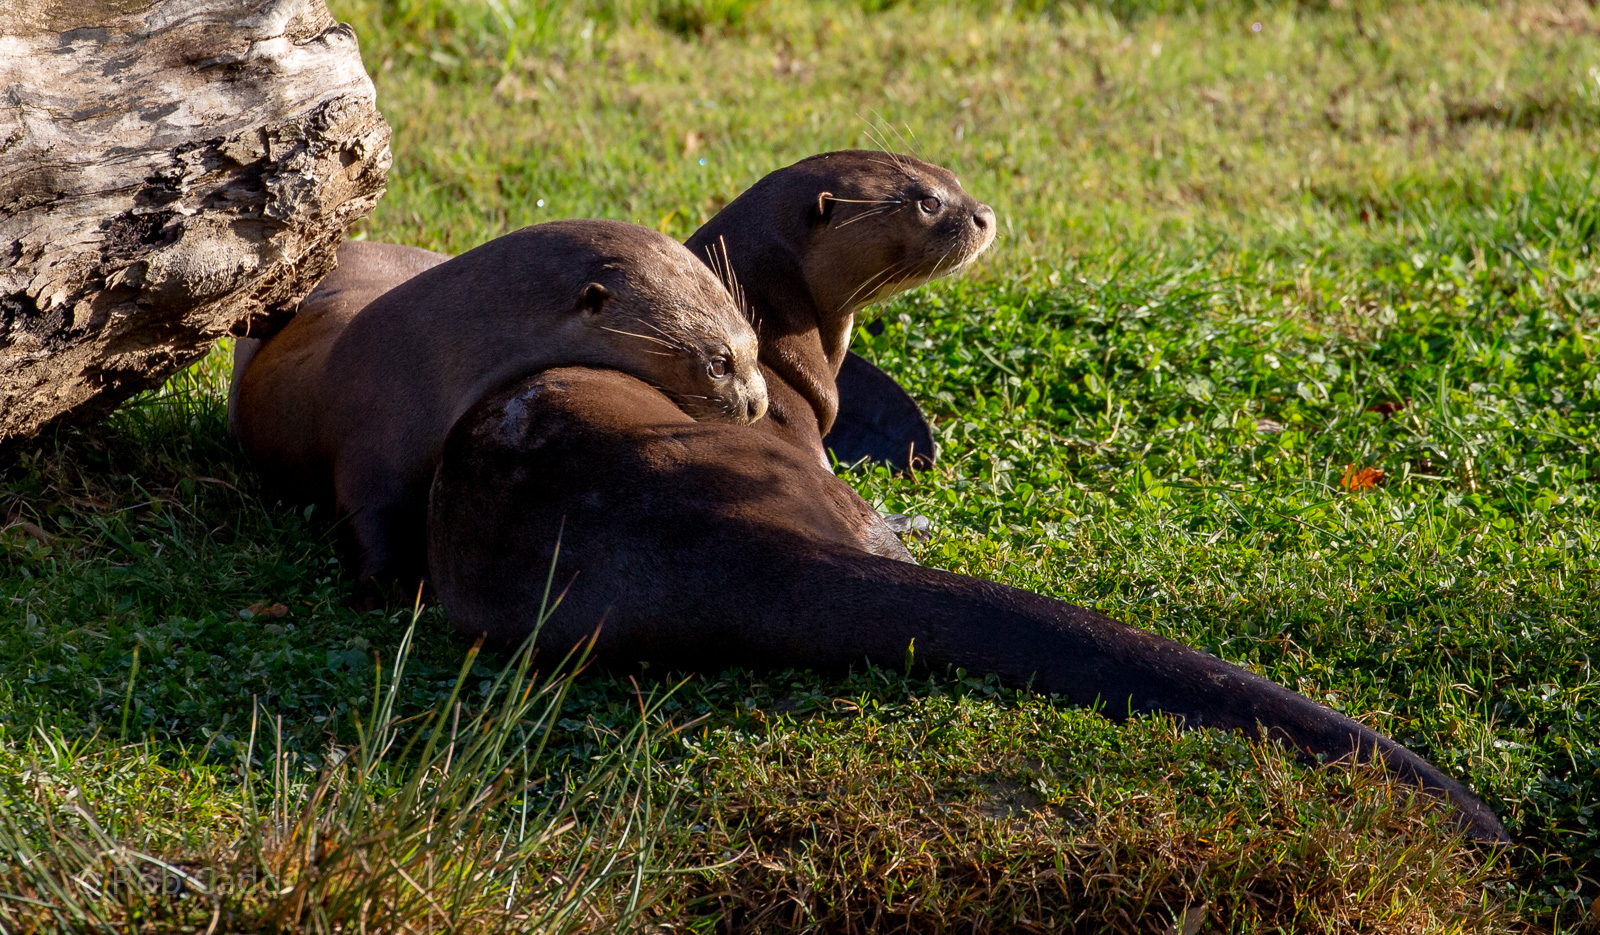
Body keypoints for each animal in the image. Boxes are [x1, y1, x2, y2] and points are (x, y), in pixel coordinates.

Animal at [232, 220, 766, 587]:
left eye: (755, 346)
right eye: (719, 363)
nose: (758, 405)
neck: (426, 361)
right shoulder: (365, 449)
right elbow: (368, 521)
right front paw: (391, 589)